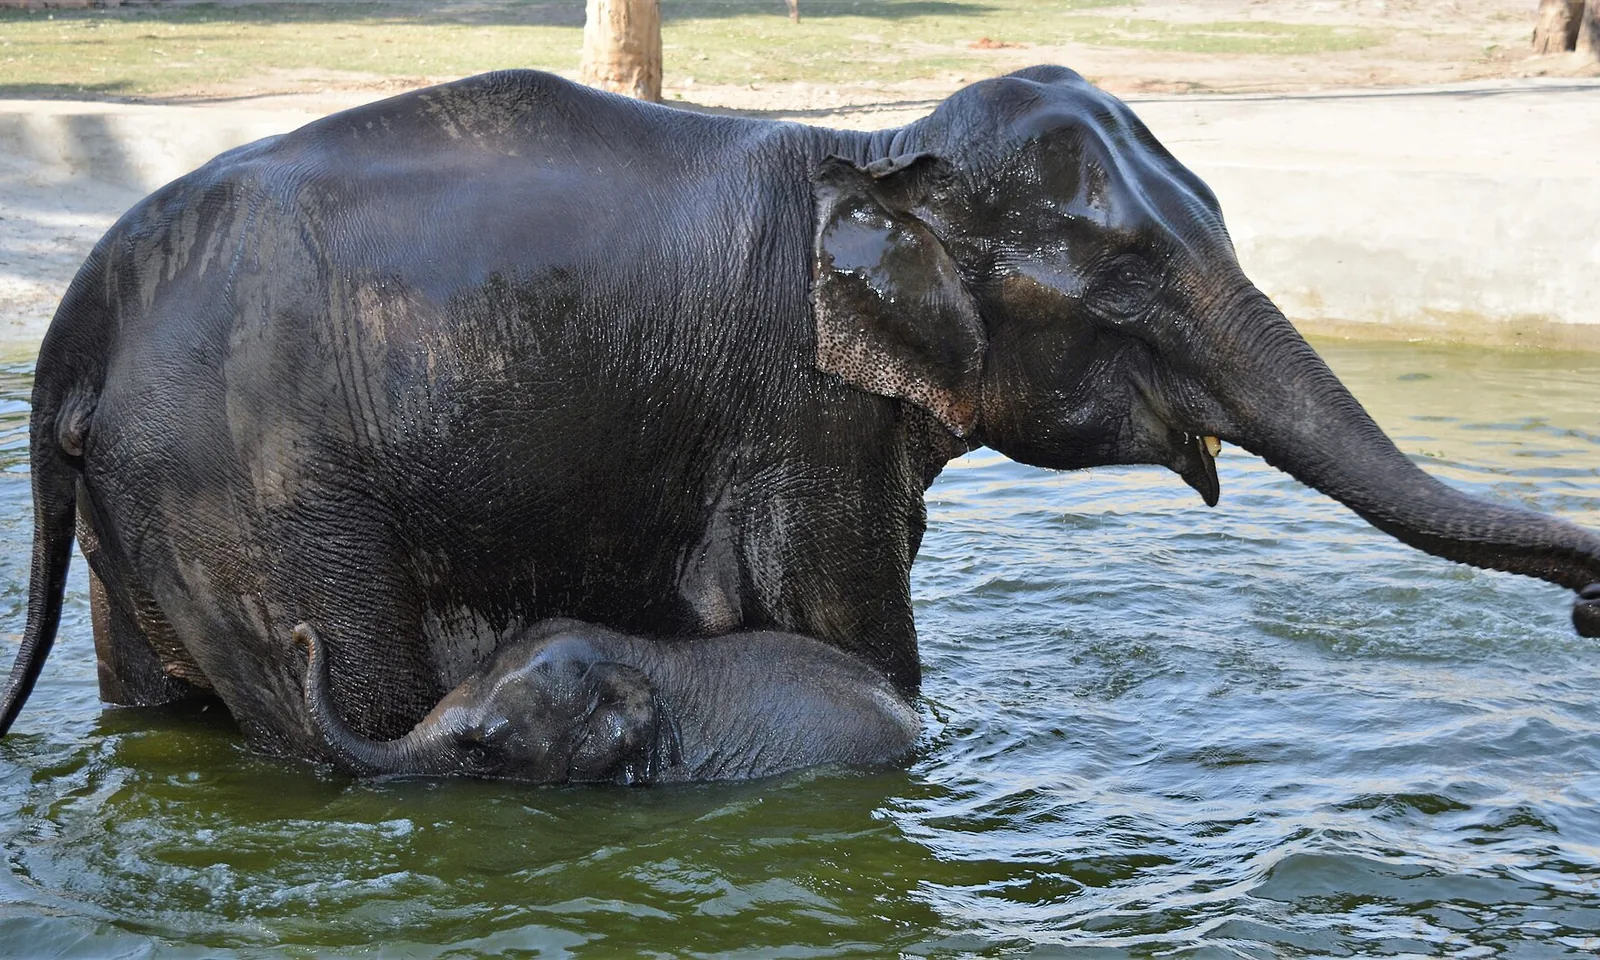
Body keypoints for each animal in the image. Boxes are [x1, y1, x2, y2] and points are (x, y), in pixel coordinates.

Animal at [2, 66, 1597, 765]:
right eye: (1131, 290)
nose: (1590, 608)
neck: (876, 148)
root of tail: (79, 319)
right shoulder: (802, 416)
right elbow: (859, 648)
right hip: (259, 491)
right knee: (343, 697)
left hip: (151, 502)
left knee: (157, 712)